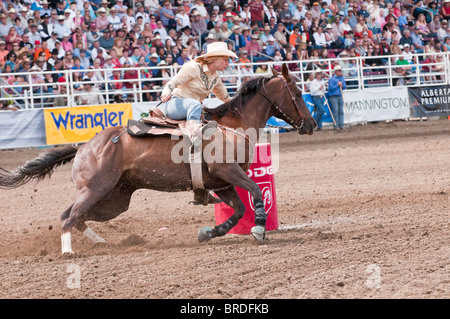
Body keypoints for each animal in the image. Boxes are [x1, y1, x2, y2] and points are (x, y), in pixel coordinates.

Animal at [0, 65, 316, 255]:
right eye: (299, 92)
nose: (312, 124)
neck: (232, 126)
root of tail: (84, 147)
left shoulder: (222, 183)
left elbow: (238, 211)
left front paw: (208, 232)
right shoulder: (229, 173)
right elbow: (255, 193)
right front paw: (260, 229)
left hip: (114, 200)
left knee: (76, 216)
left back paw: (101, 243)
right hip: (97, 189)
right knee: (68, 217)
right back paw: (69, 252)